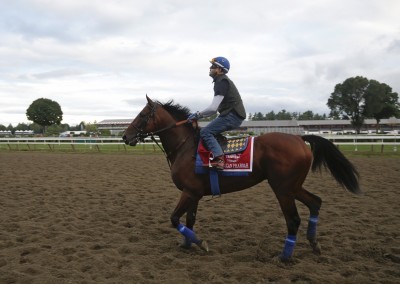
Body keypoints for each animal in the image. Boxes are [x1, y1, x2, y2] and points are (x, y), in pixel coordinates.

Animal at [121, 96, 360, 260]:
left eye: (142, 115)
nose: (125, 136)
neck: (185, 146)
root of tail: (300, 139)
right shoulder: (194, 194)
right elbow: (189, 220)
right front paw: (187, 244)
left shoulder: (189, 192)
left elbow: (174, 219)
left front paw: (201, 243)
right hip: (293, 186)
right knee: (315, 202)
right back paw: (314, 244)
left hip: (282, 189)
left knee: (293, 219)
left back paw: (284, 257)